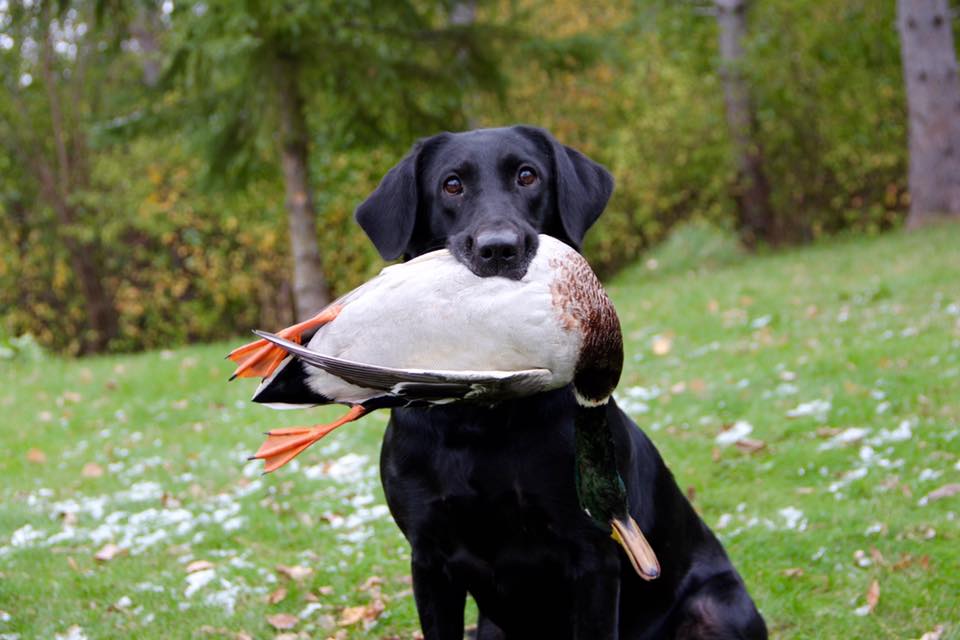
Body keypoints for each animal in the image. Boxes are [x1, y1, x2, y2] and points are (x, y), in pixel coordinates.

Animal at [352, 126, 764, 640]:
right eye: (452, 185)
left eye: (528, 175)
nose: (500, 248)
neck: (481, 421)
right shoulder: (429, 560)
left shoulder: (594, 555)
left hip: (714, 609)